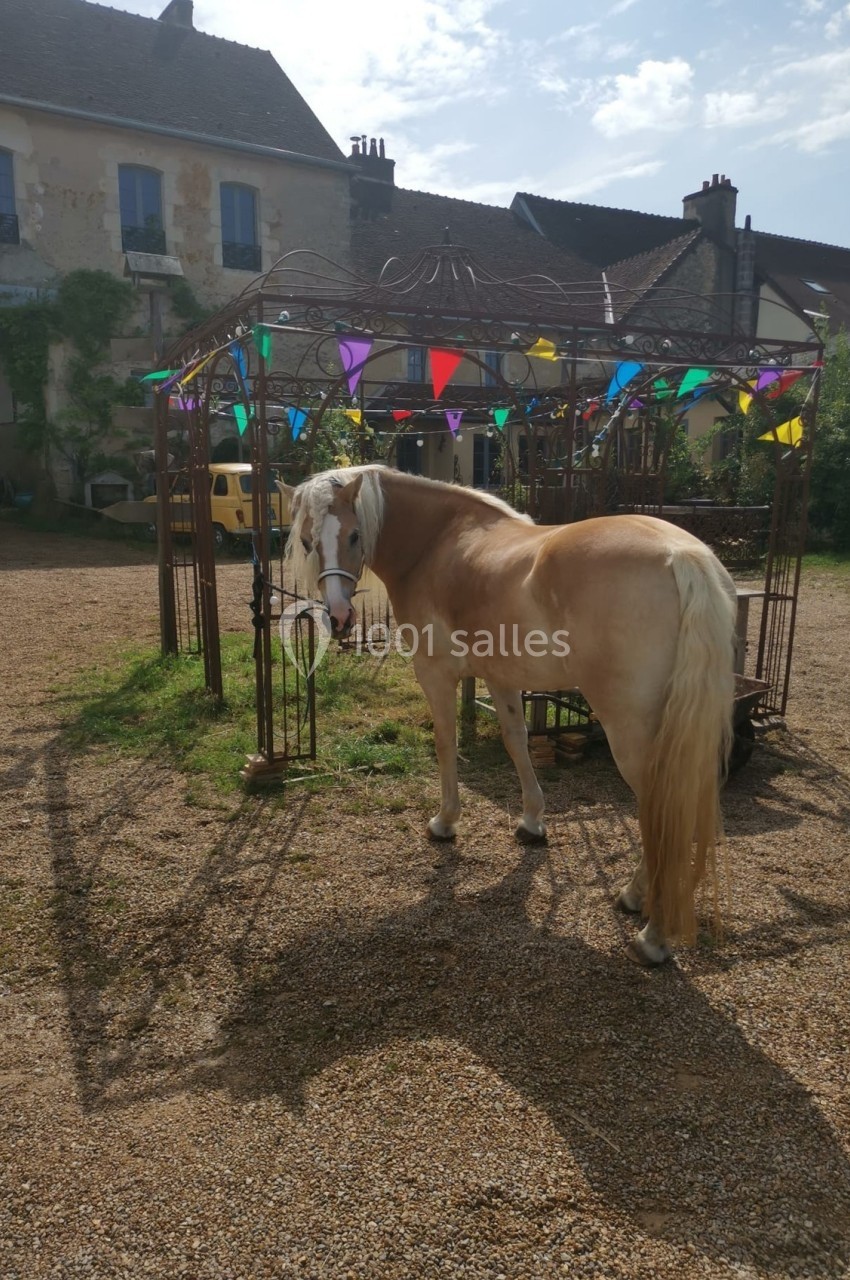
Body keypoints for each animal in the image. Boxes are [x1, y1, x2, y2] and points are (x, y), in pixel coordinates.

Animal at [280, 465, 737, 965]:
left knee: (662, 813)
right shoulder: (500, 677)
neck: (436, 541)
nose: (340, 617)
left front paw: (445, 823)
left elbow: (445, 744)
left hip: (633, 733)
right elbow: (517, 743)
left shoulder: (435, 673)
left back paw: (652, 936)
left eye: (355, 535)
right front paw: (532, 822)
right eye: (307, 540)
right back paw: (638, 898)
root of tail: (681, 556)